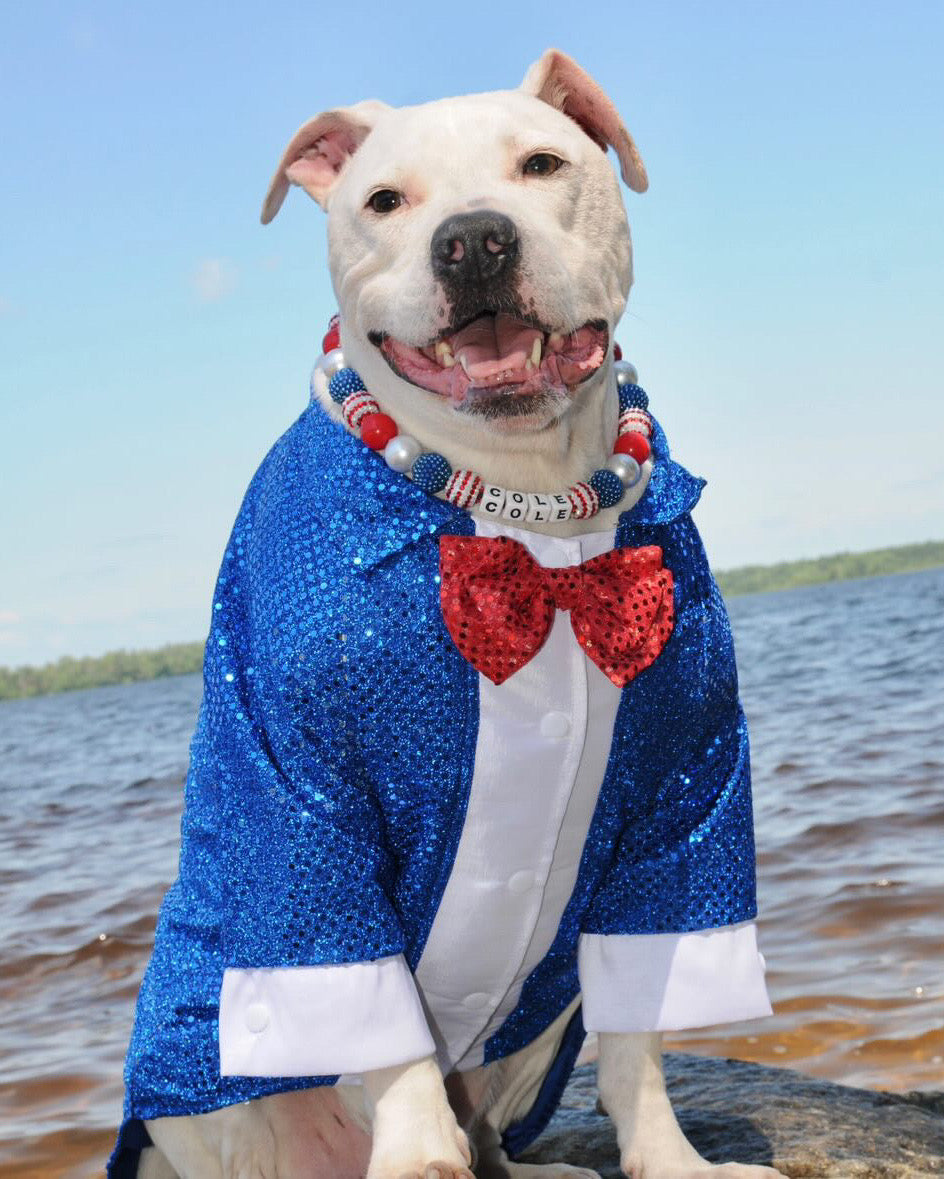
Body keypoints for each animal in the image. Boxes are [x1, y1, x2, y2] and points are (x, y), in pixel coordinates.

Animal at [116, 50, 782, 1179]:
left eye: (542, 165)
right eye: (385, 201)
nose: (474, 239)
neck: (522, 507)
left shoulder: (682, 795)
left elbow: (640, 1040)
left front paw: (672, 1160)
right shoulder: (299, 800)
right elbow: (377, 1024)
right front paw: (419, 1155)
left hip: (539, 1026)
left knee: (502, 1131)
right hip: (216, 1099)